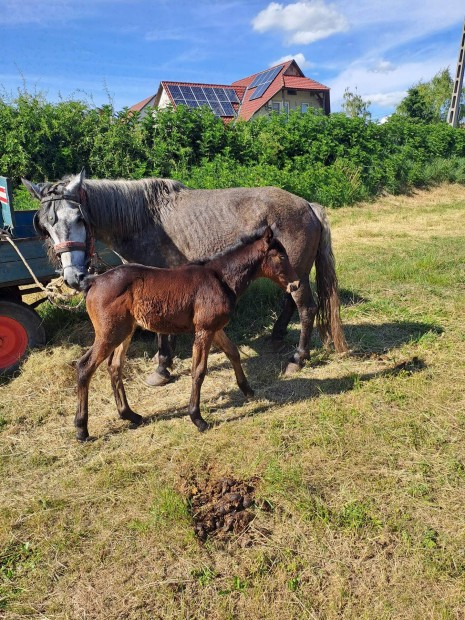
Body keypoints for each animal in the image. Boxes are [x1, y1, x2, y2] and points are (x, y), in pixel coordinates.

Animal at [22, 171, 348, 382]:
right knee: (290, 304)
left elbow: (160, 331)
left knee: (306, 308)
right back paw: (277, 339)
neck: (142, 221)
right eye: (45, 227)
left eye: (79, 219)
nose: (74, 277)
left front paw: (162, 368)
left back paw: (298, 359)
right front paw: (163, 363)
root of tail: (308, 206)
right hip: (290, 273)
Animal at [74, 228, 300, 440]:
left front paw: (248, 390)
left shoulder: (214, 328)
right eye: (281, 256)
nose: (296, 284)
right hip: (109, 333)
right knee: (85, 367)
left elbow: (233, 352)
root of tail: (93, 281)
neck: (221, 279)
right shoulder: (204, 330)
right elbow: (198, 371)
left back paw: (130, 415)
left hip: (125, 331)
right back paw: (81, 429)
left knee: (114, 367)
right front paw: (197, 418)